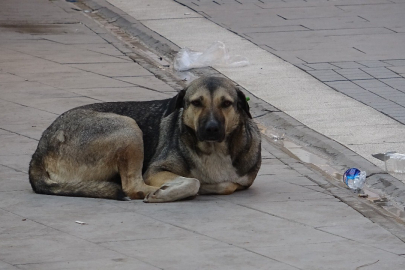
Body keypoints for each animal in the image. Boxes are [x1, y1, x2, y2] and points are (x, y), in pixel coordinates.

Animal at [29, 76, 262, 202]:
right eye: (196, 103)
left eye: (226, 104)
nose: (211, 129)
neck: (213, 149)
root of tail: (39, 150)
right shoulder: (155, 171)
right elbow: (194, 181)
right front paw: (171, 190)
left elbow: (226, 185)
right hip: (128, 127)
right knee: (132, 186)